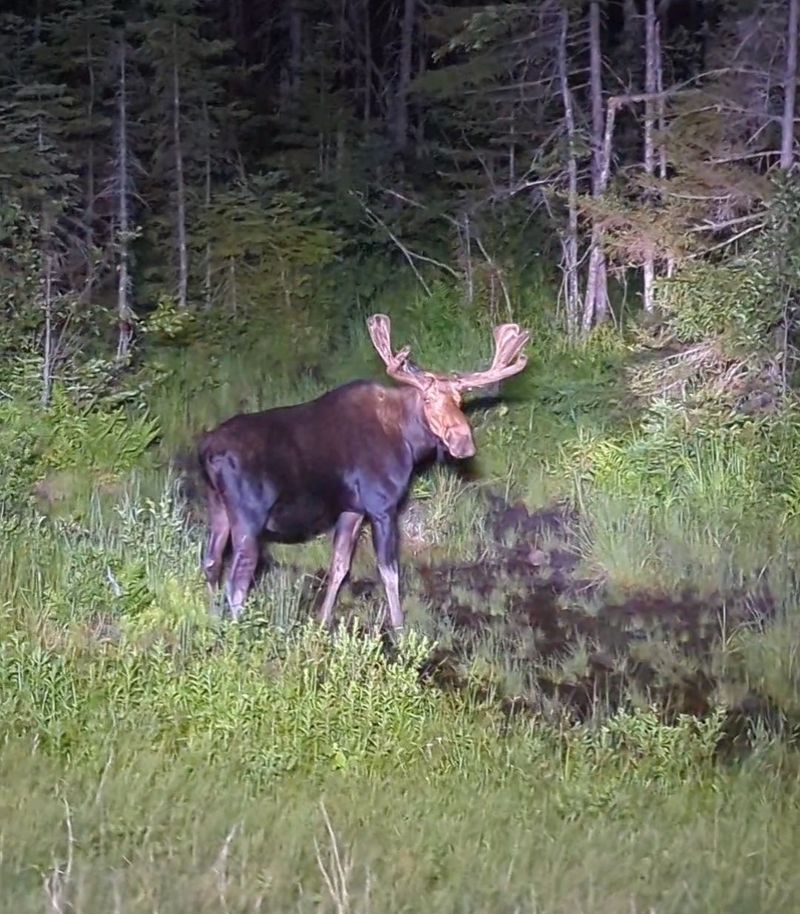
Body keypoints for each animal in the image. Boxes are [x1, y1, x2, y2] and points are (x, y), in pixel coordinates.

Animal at [198, 313, 529, 629]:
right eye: (427, 399)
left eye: (460, 401)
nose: (463, 442)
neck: (409, 441)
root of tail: (207, 452)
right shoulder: (382, 506)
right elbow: (390, 572)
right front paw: (400, 631)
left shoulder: (353, 508)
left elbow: (340, 565)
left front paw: (322, 621)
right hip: (249, 517)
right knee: (237, 583)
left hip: (218, 508)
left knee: (211, 563)